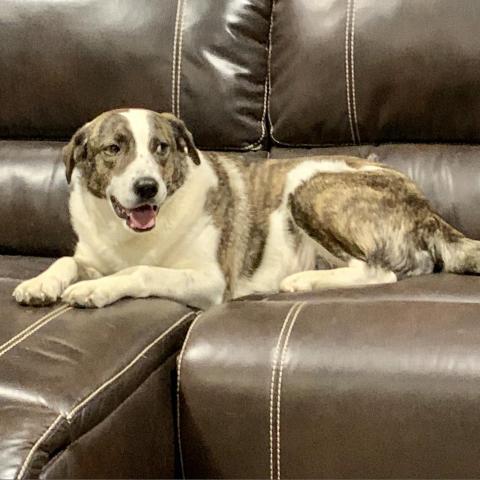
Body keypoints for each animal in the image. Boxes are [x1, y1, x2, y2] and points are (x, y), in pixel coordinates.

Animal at [13, 107, 480, 310]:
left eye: (161, 148)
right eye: (114, 149)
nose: (147, 188)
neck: (132, 235)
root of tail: (427, 208)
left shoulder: (208, 280)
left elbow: (140, 272)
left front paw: (94, 290)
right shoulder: (93, 255)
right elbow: (66, 262)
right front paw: (40, 284)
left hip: (308, 185)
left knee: (379, 271)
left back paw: (301, 282)